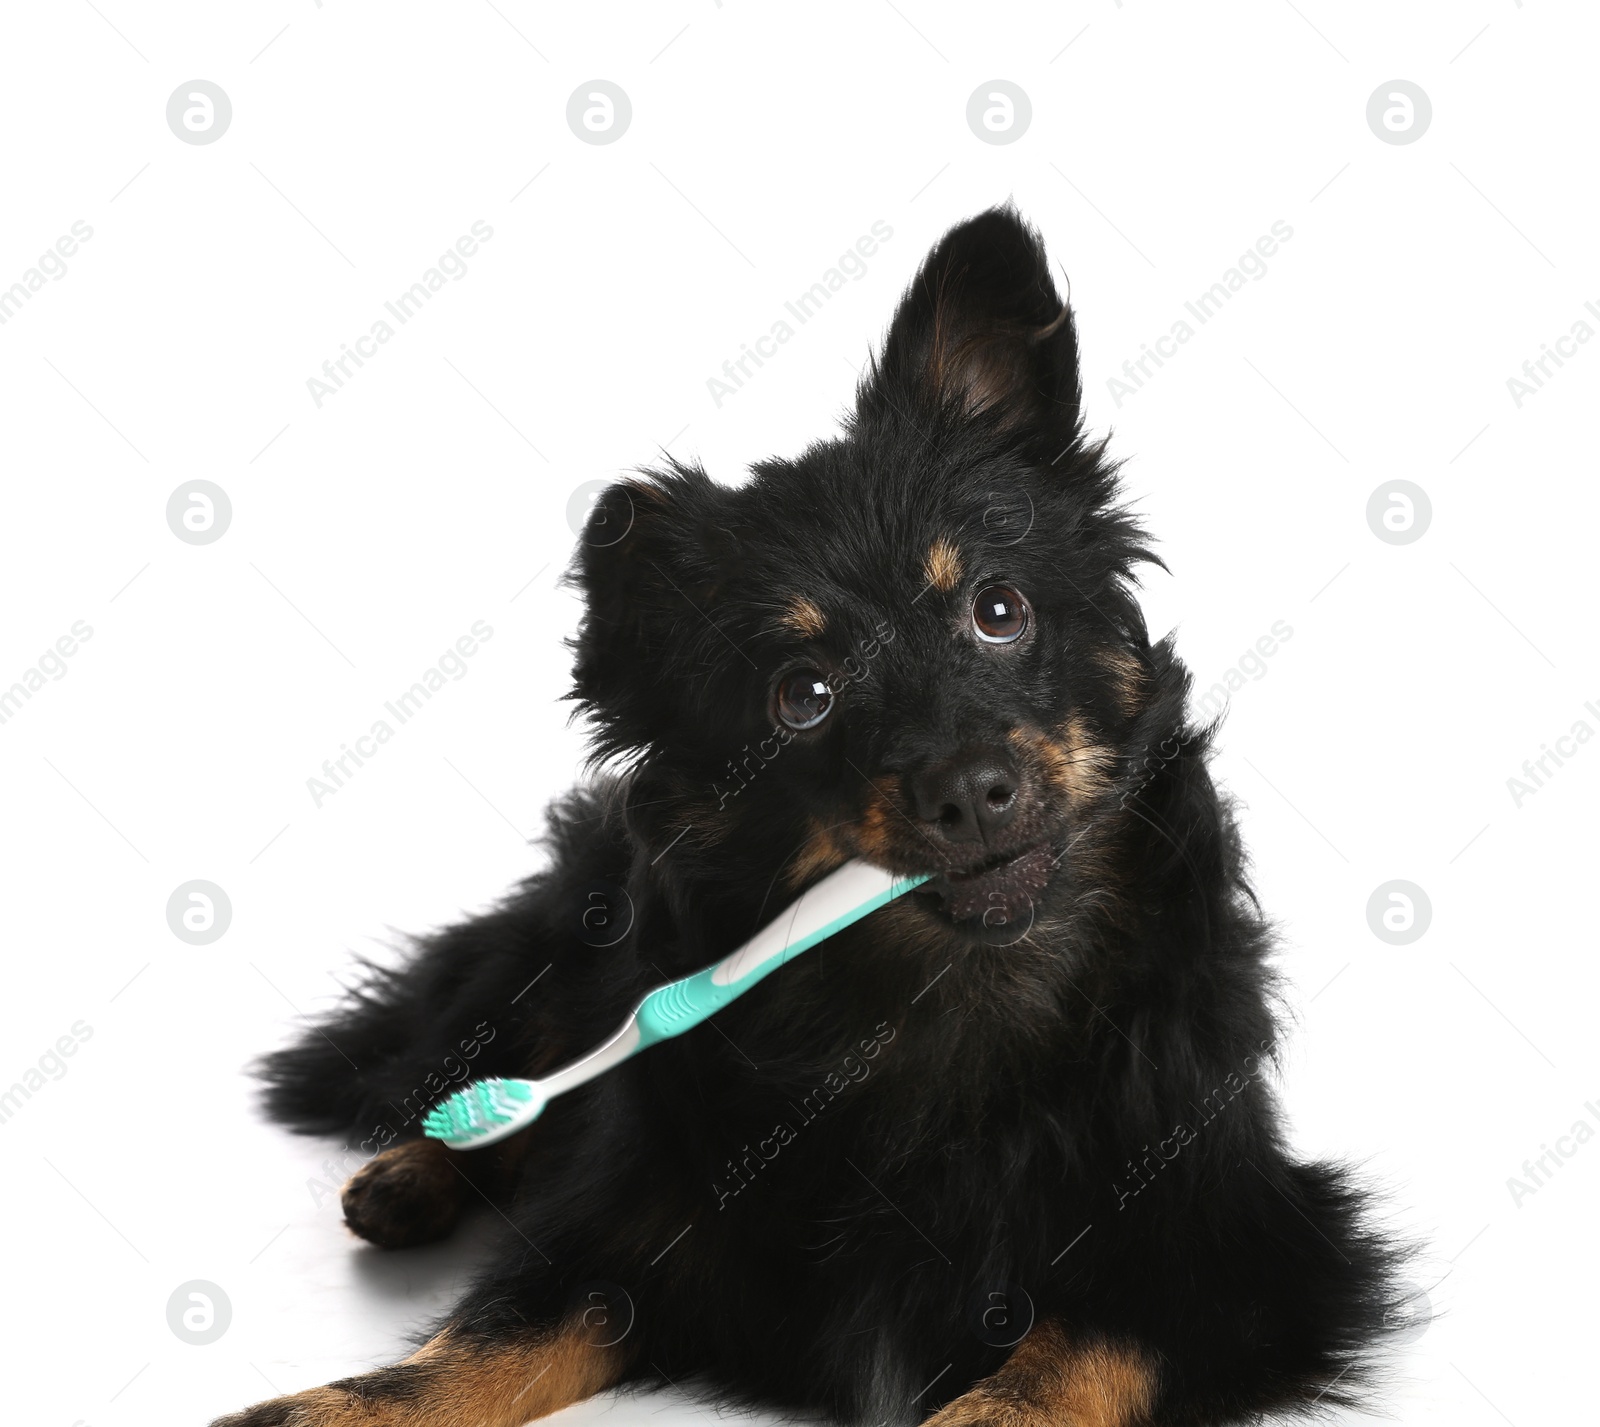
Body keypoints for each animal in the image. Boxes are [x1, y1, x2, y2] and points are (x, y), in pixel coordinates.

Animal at [216, 203, 1401, 1427]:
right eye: (804, 696)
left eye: (999, 610)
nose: (971, 789)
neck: (949, 1002)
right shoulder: (624, 1235)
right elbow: (460, 1356)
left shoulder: (1243, 1252)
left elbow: (1063, 1358)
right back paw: (413, 1169)